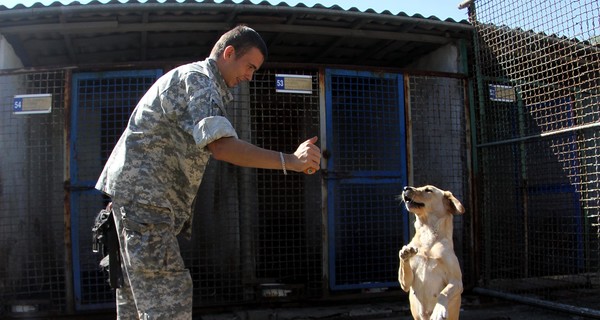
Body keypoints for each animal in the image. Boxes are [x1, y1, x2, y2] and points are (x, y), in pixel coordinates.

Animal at [400, 185, 466, 320]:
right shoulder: (405, 284)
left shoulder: (456, 281)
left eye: (428, 190)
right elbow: (404, 268)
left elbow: (443, 292)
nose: (405, 188)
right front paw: (406, 253)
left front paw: (438, 310)